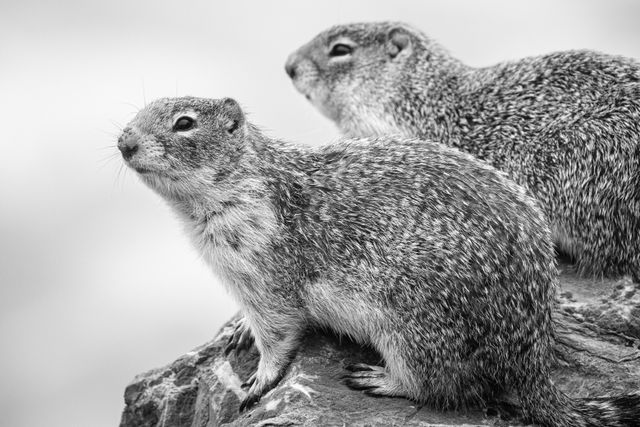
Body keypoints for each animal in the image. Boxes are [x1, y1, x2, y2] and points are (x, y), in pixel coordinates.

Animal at [120, 97, 640, 427]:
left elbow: (279, 333)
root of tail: (532, 354)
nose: (124, 142)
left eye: (184, 122)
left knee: (441, 386)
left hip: (412, 324)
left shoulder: (267, 273)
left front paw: (257, 381)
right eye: (139, 111)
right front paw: (238, 330)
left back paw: (381, 379)